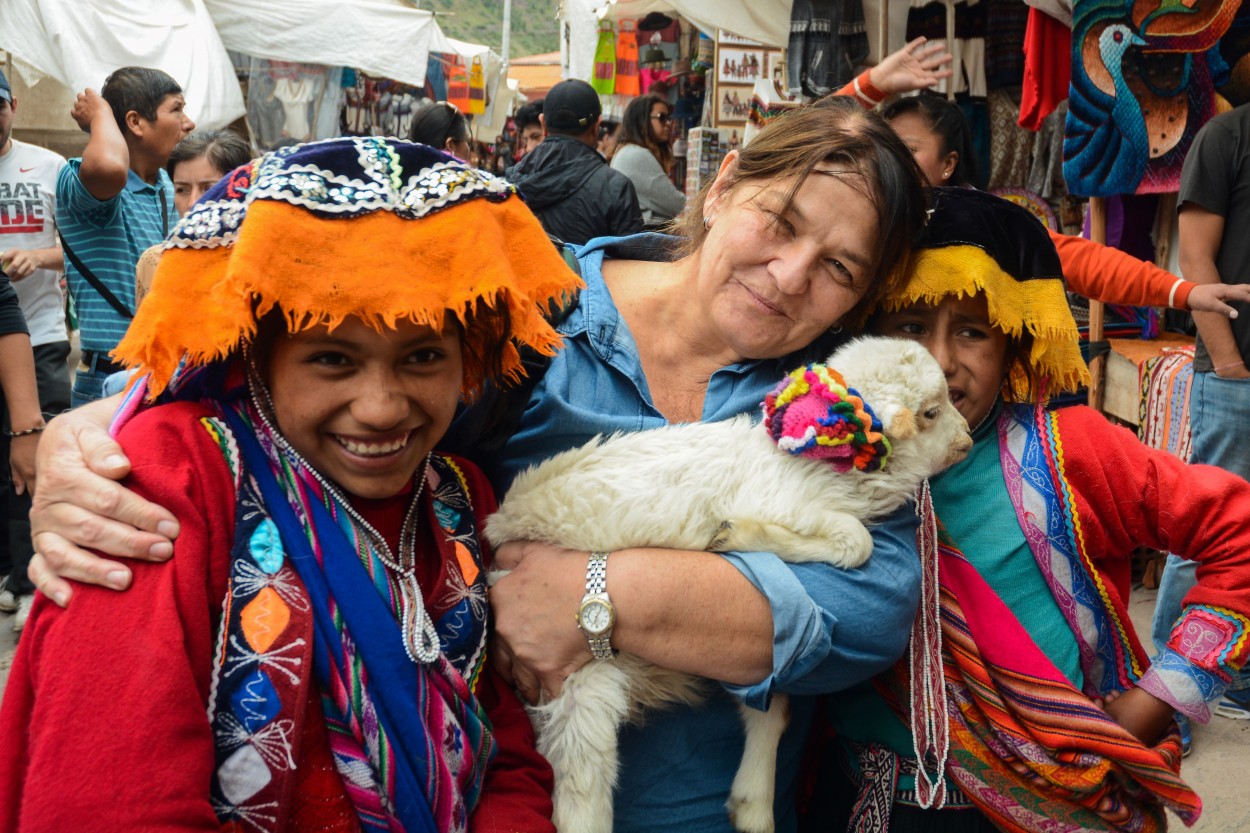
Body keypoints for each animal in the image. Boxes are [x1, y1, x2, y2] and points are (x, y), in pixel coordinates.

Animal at [482, 335, 970, 830]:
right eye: (931, 412)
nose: (968, 440)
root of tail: (498, 528)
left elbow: (774, 705)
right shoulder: (786, 502)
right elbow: (857, 541)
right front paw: (739, 534)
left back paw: (754, 804)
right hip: (580, 685)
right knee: (581, 796)